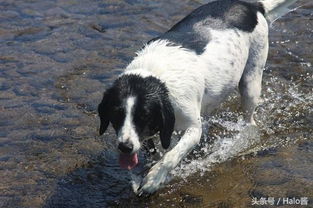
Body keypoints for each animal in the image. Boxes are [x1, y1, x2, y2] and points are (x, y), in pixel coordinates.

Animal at [97, 0, 298, 195]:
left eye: (144, 116)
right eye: (116, 114)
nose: (125, 147)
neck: (156, 78)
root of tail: (252, 5)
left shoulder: (193, 129)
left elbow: (171, 156)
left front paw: (153, 180)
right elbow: (159, 151)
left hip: (251, 82)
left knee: (250, 120)